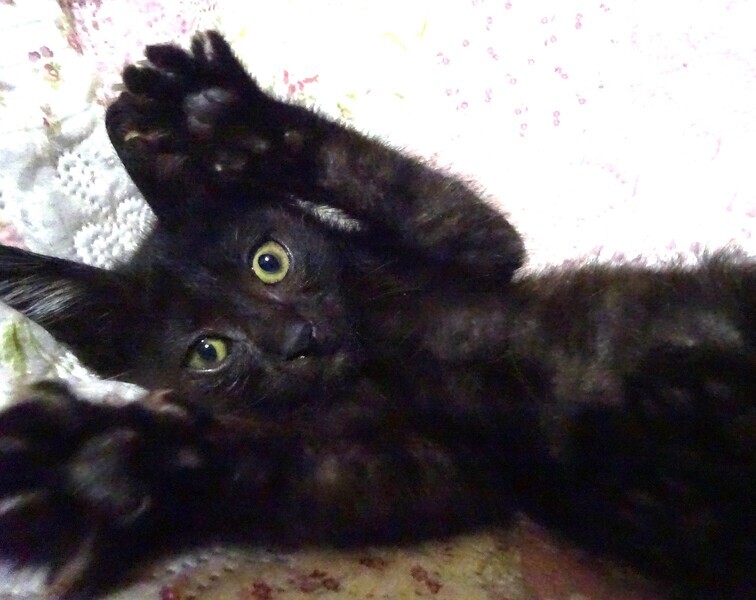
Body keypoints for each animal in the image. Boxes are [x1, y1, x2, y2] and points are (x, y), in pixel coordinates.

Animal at [0, 31, 752, 599]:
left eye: (270, 261)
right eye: (208, 351)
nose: (298, 339)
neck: (379, 355)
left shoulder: (470, 255)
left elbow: (409, 191)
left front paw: (220, 114)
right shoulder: (421, 465)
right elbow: (274, 472)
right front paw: (109, 471)